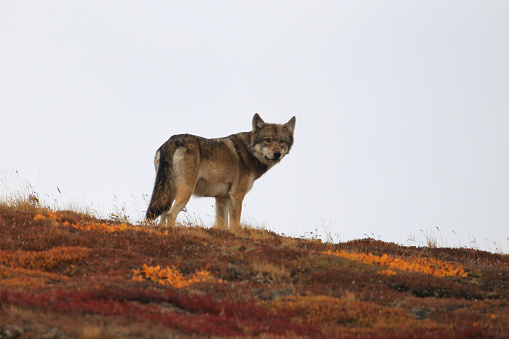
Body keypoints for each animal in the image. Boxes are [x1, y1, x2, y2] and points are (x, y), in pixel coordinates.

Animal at [145, 113, 296, 230]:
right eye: (267, 140)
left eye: (281, 141)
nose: (277, 154)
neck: (249, 152)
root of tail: (173, 139)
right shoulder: (237, 195)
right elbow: (235, 224)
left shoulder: (221, 197)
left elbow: (221, 224)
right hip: (185, 191)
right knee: (171, 214)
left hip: (169, 192)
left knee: (163, 215)